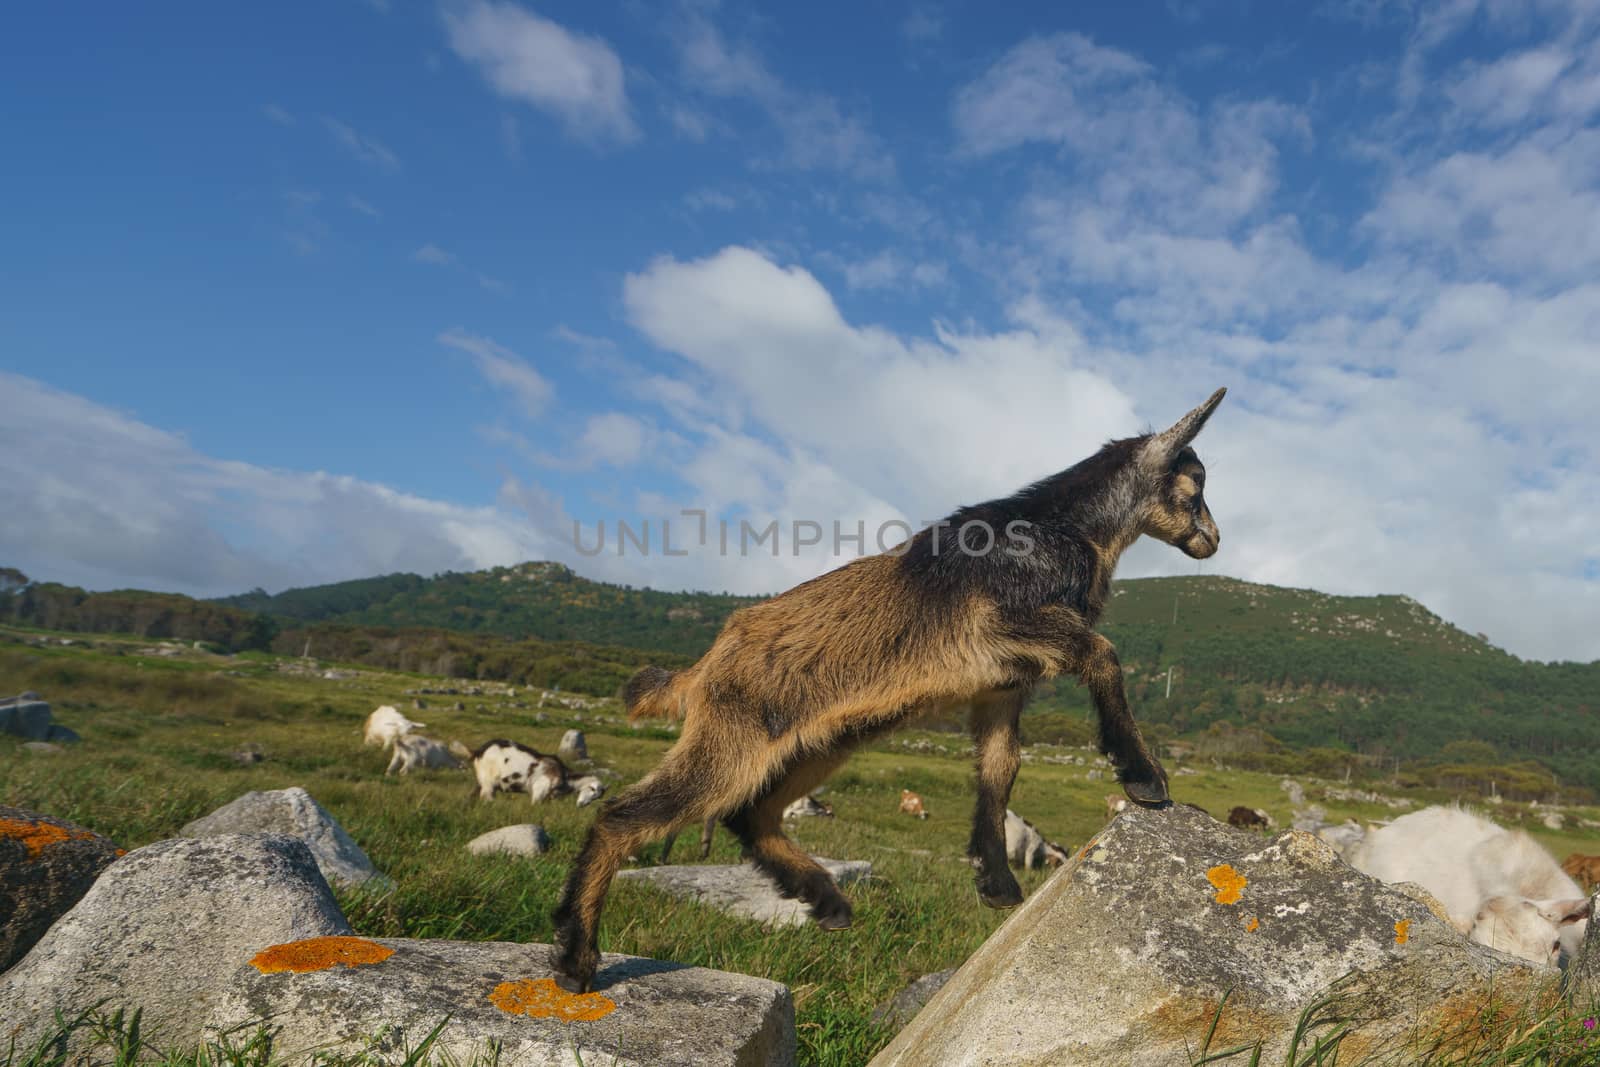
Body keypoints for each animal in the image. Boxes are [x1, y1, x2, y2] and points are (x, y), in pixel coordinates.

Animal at [550, 385, 1222, 991]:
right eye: (1195, 485)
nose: (1212, 540)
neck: (1067, 529)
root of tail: (703, 669)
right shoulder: (1012, 624)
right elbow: (1104, 656)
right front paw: (1142, 776)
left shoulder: (1004, 688)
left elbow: (1001, 766)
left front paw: (995, 882)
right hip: (732, 741)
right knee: (625, 816)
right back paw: (576, 960)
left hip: (819, 743)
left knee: (751, 814)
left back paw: (827, 901)